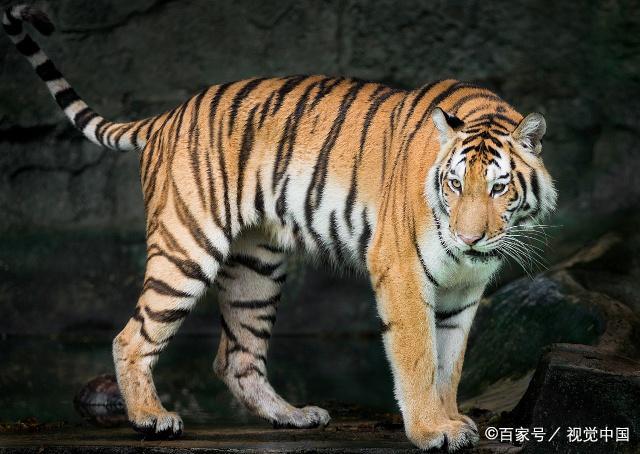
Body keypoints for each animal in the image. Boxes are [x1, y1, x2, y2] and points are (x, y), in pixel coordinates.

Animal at [3, 4, 557, 452]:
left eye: (499, 188)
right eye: (455, 184)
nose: (469, 239)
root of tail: (167, 115)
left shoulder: (463, 292)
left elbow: (450, 364)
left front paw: (451, 419)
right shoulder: (401, 272)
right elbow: (419, 358)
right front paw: (430, 431)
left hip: (256, 269)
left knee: (235, 357)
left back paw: (292, 416)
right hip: (187, 248)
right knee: (130, 337)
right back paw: (151, 419)